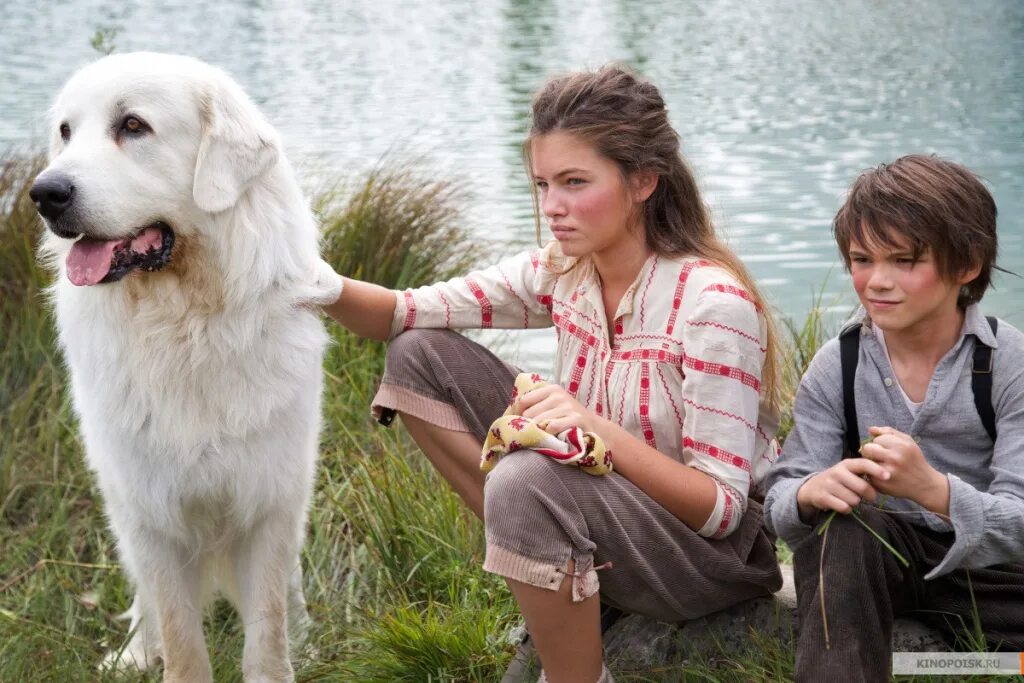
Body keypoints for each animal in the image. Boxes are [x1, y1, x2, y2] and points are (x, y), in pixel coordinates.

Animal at [32, 53, 342, 683]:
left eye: (133, 126)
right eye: (66, 132)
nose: (43, 193)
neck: (185, 328)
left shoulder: (269, 501)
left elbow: (267, 629)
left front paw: (284, 657)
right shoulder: (150, 515)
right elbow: (180, 635)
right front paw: (158, 654)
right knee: (147, 607)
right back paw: (133, 654)